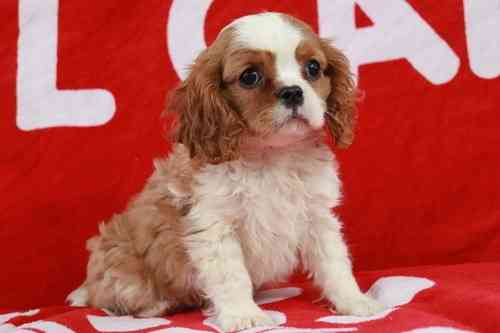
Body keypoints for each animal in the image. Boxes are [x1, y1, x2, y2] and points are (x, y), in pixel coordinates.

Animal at [68, 11, 384, 330]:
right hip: (125, 276)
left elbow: (334, 263)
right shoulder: (214, 225)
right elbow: (232, 276)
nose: (293, 92)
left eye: (313, 68)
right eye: (250, 76)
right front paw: (245, 315)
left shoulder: (317, 216)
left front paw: (355, 301)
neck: (272, 155)